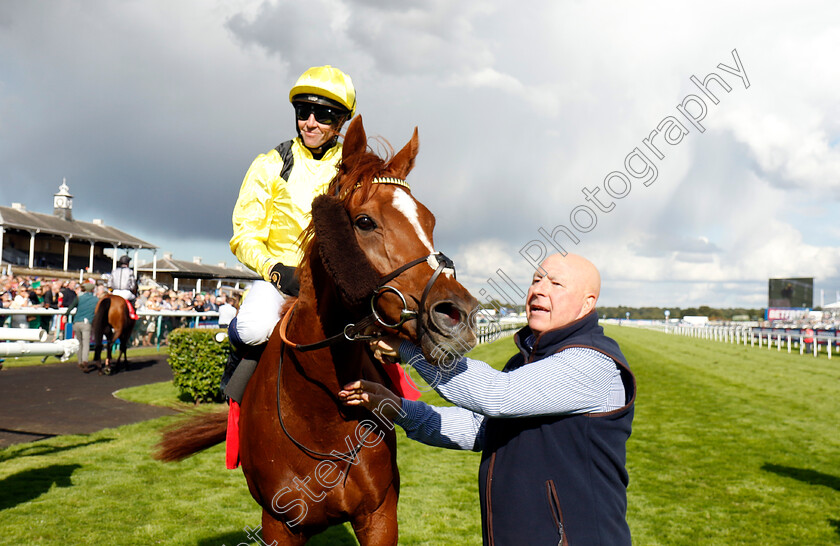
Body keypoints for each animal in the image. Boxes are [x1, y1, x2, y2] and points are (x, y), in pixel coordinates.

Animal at [153, 112, 476, 540]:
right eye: (364, 221)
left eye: (429, 220)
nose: (459, 314)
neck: (320, 417)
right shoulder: (279, 523)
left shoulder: (379, 514)